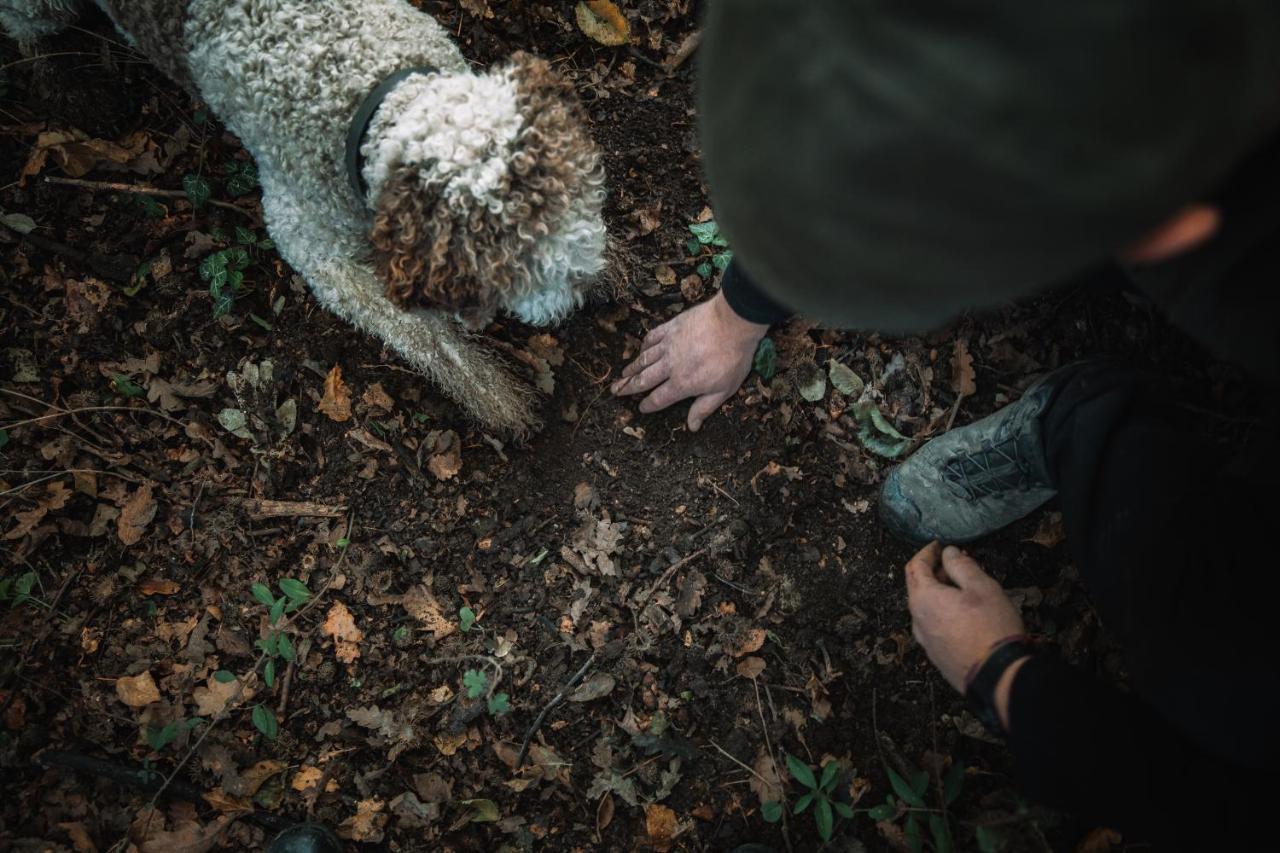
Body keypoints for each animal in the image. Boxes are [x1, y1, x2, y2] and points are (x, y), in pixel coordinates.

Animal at [2, 0, 606, 432]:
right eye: (507, 269)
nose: (576, 294)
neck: (368, 93)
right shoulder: (310, 244)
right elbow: (424, 338)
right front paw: (494, 395)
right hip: (44, 7)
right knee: (26, 28)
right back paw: (60, 78)